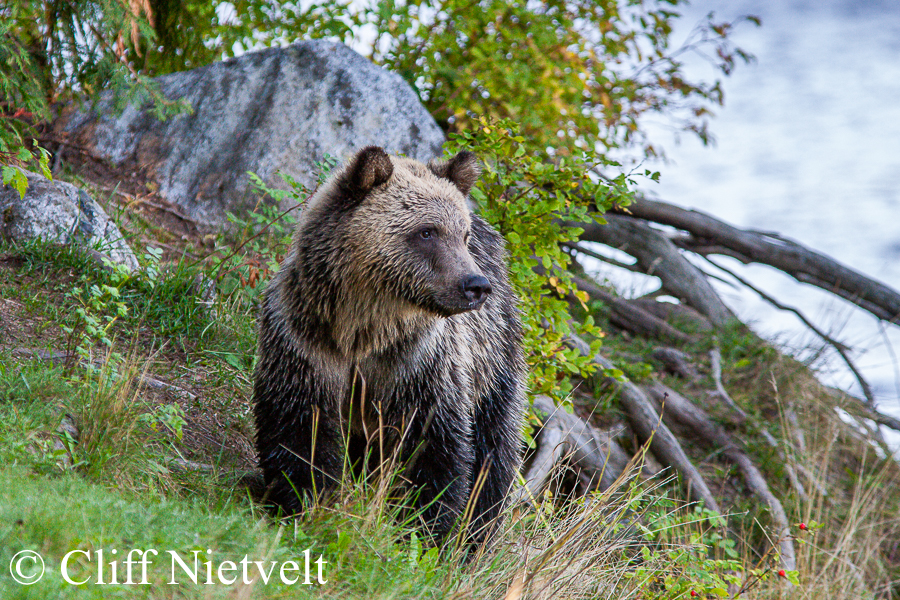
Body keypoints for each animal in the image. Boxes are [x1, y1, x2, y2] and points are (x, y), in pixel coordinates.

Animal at [252, 146, 525, 544]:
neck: (363, 331)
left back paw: (476, 536)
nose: (475, 285)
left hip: (494, 364)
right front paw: (305, 501)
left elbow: (432, 449)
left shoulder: (419, 365)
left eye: (462, 235)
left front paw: (423, 529)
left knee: (495, 451)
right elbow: (302, 426)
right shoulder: (306, 342)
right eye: (427, 231)